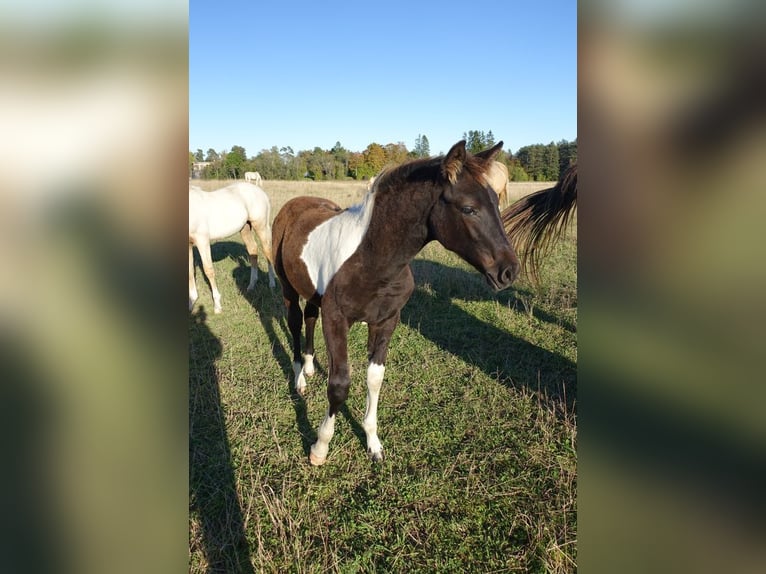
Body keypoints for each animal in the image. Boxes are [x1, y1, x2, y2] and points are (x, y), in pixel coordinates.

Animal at [189, 183, 276, 316]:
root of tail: (259, 191)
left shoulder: (202, 241)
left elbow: (208, 270)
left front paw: (217, 306)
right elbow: (189, 272)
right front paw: (191, 302)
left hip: (261, 226)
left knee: (268, 252)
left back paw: (272, 284)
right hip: (245, 228)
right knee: (253, 250)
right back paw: (251, 285)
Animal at [274, 141, 520, 468]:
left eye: (496, 201)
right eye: (469, 208)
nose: (509, 271)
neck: (371, 259)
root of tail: (295, 203)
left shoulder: (386, 320)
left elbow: (374, 378)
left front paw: (373, 443)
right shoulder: (336, 320)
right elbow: (339, 385)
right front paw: (320, 448)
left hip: (313, 292)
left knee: (310, 317)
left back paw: (311, 367)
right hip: (288, 288)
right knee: (295, 323)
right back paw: (300, 378)